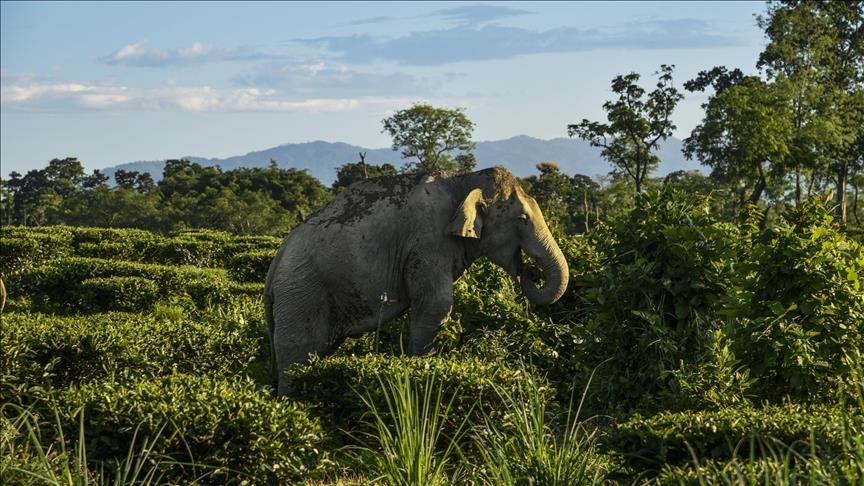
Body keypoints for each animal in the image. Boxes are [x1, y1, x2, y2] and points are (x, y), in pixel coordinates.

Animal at [266, 166, 572, 394]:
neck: (463, 179)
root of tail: (274, 266)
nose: (530, 272)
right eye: (521, 219)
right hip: (301, 294)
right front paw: (421, 369)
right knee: (299, 354)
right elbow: (436, 306)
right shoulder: (427, 241)